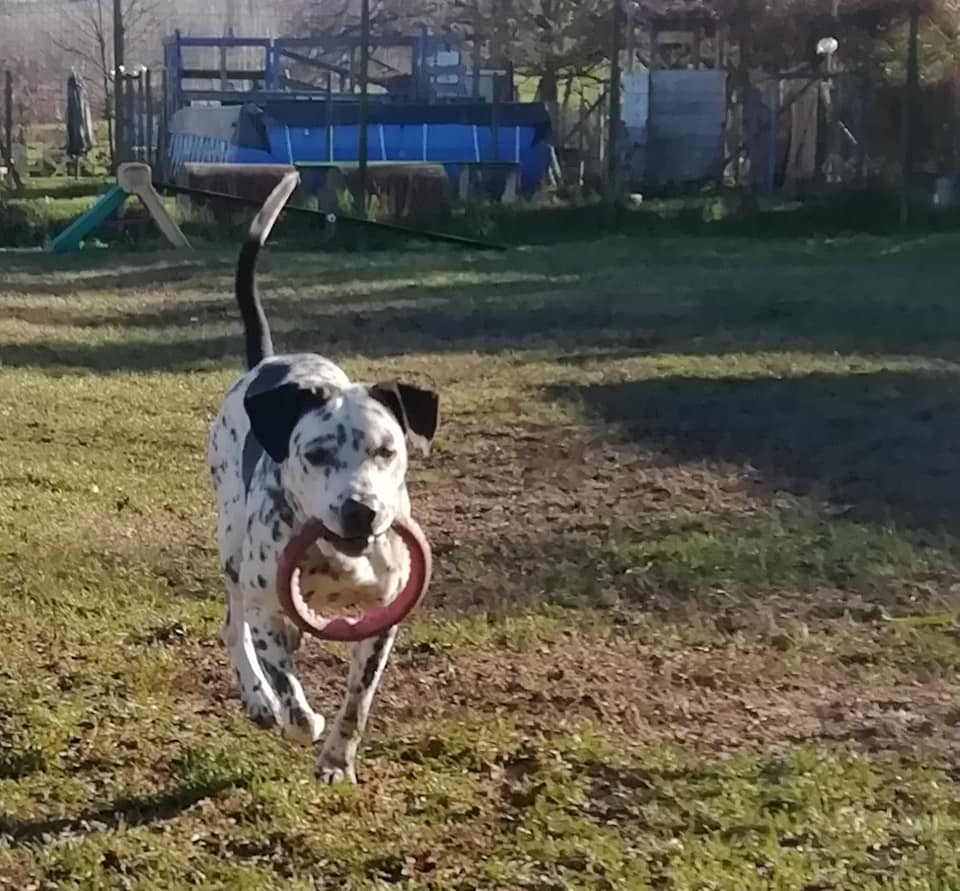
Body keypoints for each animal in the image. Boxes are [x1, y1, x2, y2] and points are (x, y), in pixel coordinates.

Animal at [207, 172, 439, 783]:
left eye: (387, 451)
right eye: (315, 454)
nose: (361, 510)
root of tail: (266, 361)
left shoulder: (381, 623)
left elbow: (358, 701)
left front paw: (337, 759)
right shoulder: (267, 605)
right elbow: (287, 685)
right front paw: (295, 717)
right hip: (231, 546)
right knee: (235, 627)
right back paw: (257, 698)